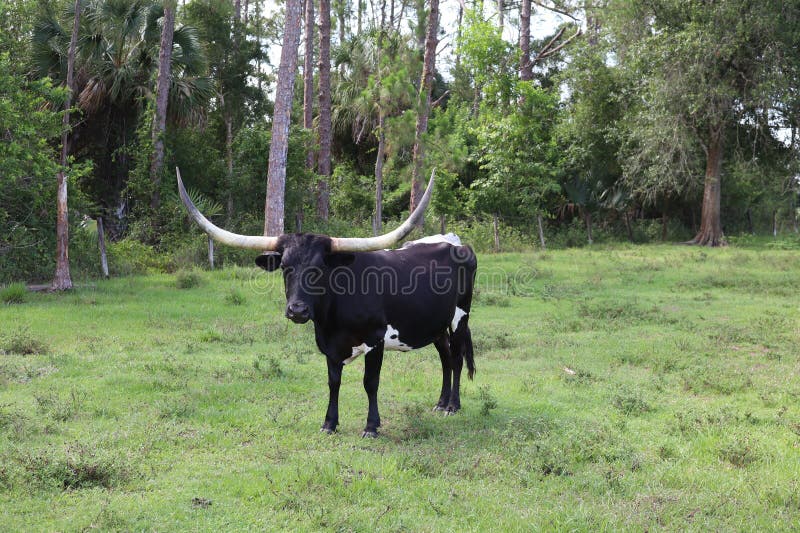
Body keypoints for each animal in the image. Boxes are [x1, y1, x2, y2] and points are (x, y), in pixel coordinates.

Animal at [178, 169, 478, 436]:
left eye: (320, 267)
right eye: (284, 267)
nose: (297, 310)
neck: (334, 318)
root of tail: (455, 243)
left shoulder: (376, 339)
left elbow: (370, 383)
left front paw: (371, 426)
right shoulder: (327, 344)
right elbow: (334, 383)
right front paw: (329, 424)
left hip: (460, 318)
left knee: (457, 357)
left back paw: (453, 406)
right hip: (436, 324)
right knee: (445, 358)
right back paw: (440, 403)